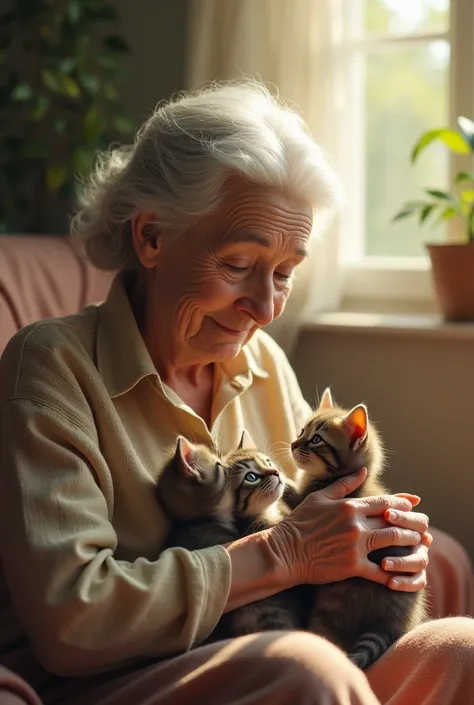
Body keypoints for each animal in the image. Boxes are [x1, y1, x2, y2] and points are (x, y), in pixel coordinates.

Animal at [290, 388, 428, 668]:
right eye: (301, 431)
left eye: (316, 439)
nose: (292, 444)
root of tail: (386, 620)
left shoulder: (307, 502)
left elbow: (292, 497)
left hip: (329, 611)